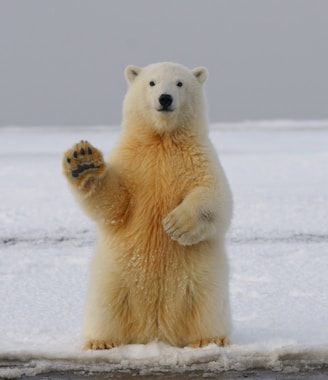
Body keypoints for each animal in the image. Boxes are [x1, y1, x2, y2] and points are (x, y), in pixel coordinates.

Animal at [63, 60, 233, 348]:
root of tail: (155, 332)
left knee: (206, 306)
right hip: (113, 279)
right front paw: (83, 161)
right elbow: (115, 203)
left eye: (179, 83)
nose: (165, 98)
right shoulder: (133, 162)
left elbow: (216, 198)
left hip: (203, 281)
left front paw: (176, 224)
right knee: (106, 307)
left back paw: (210, 339)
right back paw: (100, 342)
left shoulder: (199, 159)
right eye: (151, 82)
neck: (162, 139)